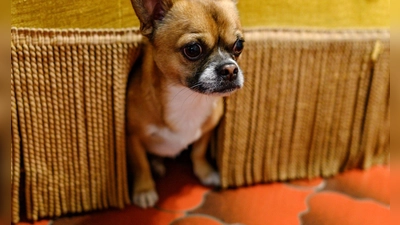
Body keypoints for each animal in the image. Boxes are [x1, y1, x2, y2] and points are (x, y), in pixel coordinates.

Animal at [126, 0, 244, 208]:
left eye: (239, 45)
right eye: (193, 49)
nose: (230, 69)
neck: (189, 98)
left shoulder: (206, 131)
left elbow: (198, 151)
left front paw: (205, 172)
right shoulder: (132, 136)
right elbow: (140, 164)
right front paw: (144, 189)